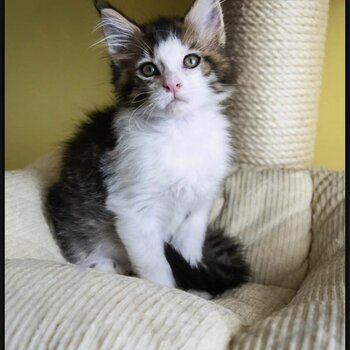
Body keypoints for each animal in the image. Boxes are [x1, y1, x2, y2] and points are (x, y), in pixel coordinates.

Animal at [45, 0, 249, 296]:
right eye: (149, 69)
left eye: (191, 61)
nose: (172, 84)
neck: (180, 132)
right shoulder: (133, 210)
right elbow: (157, 267)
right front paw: (170, 293)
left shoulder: (198, 209)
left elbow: (188, 254)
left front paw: (193, 290)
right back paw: (107, 266)